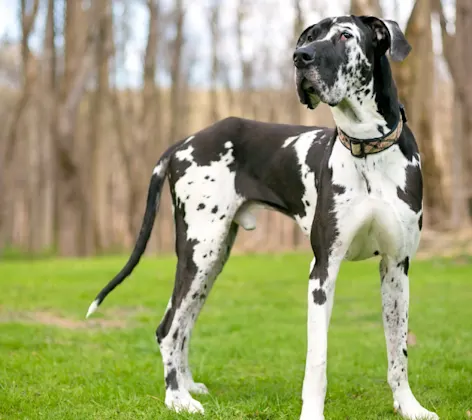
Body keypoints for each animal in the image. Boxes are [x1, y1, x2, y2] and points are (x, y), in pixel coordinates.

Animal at [85, 14, 438, 420]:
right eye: (310, 36)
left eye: (345, 35)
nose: (300, 57)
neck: (368, 150)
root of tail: (182, 143)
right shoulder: (322, 272)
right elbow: (317, 360)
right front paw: (312, 413)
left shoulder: (397, 268)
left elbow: (399, 351)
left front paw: (409, 406)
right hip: (199, 252)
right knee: (168, 328)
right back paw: (177, 398)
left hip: (212, 259)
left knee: (183, 323)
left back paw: (188, 385)